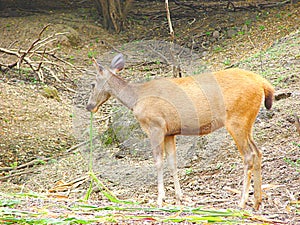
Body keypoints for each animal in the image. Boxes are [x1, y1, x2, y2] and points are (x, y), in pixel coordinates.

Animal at [86, 53, 274, 210]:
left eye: (93, 84)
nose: (89, 106)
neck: (136, 99)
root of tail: (262, 83)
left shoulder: (156, 126)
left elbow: (158, 162)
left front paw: (160, 199)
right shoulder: (170, 132)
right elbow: (172, 162)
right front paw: (179, 197)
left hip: (237, 119)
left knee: (248, 155)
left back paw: (242, 202)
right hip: (246, 121)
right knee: (258, 152)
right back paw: (257, 202)